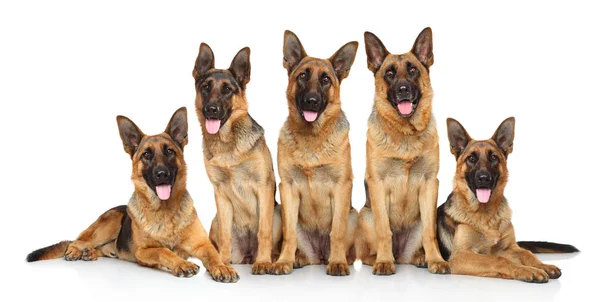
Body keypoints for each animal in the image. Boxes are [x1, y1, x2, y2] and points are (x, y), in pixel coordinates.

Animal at [25, 107, 238, 282]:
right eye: (147, 155)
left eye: (169, 151)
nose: (162, 174)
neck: (165, 211)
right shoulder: (144, 252)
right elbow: (164, 251)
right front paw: (182, 264)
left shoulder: (203, 245)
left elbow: (214, 255)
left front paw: (222, 267)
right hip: (110, 223)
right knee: (77, 241)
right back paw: (76, 251)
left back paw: (90, 253)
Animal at [193, 43, 282, 276]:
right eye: (205, 87)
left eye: (227, 90)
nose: (211, 110)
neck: (228, 144)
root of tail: (247, 255)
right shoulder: (220, 192)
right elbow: (226, 236)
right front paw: (221, 264)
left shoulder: (264, 186)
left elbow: (264, 231)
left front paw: (263, 262)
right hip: (215, 219)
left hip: (278, 213)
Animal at [270, 30, 358, 276]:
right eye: (302, 76)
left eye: (326, 79)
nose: (312, 101)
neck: (312, 139)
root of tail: (318, 257)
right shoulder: (288, 188)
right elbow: (289, 234)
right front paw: (283, 262)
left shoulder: (342, 186)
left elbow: (336, 231)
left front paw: (337, 263)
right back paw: (296, 259)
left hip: (353, 215)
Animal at [356, 28, 450, 276]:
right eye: (389, 73)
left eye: (413, 70)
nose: (403, 90)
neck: (405, 134)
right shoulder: (378, 184)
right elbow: (384, 231)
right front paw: (383, 262)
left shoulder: (430, 183)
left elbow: (430, 234)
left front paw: (436, 260)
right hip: (365, 215)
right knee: (367, 252)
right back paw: (381, 258)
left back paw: (421, 258)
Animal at [438, 117, 580, 282]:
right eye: (471, 158)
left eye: (494, 157)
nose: (484, 178)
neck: (487, 216)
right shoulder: (460, 256)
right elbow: (499, 260)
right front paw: (527, 271)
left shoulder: (509, 248)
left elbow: (526, 253)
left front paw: (543, 266)